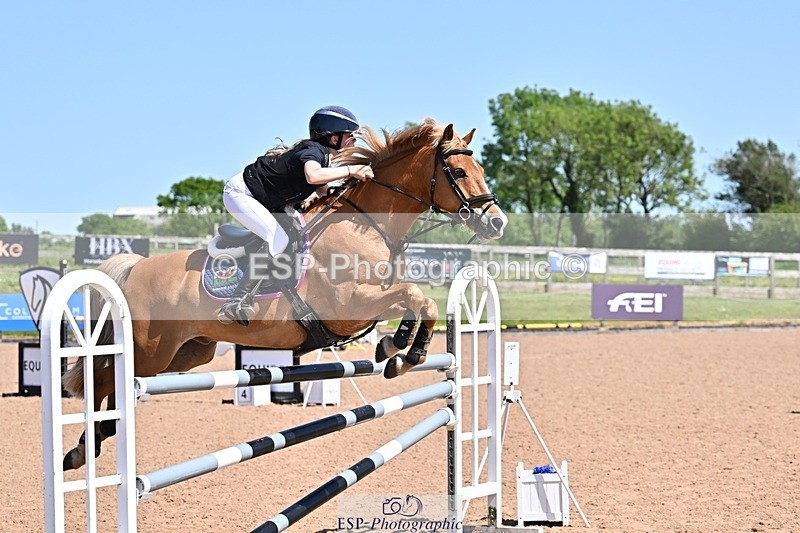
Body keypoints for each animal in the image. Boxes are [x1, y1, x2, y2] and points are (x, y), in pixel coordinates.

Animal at [60, 119, 508, 470]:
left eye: (481, 168)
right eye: (458, 172)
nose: (497, 223)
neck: (368, 224)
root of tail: (136, 268)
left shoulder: (369, 304)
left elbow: (418, 300)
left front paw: (395, 350)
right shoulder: (349, 304)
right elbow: (415, 294)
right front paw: (404, 351)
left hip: (187, 354)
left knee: (118, 386)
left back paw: (95, 441)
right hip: (150, 349)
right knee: (104, 379)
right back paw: (81, 449)